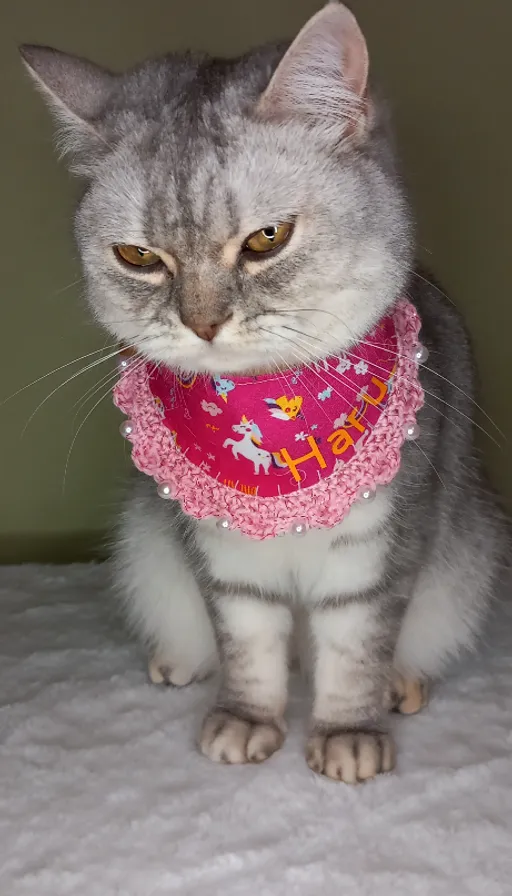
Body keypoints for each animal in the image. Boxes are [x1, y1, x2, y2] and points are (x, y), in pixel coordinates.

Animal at [21, 3, 508, 780]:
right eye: (136, 256)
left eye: (267, 239)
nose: (202, 322)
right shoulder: (221, 557)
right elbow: (247, 645)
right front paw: (247, 722)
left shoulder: (378, 551)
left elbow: (354, 652)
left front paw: (347, 736)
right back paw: (176, 664)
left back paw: (402, 686)